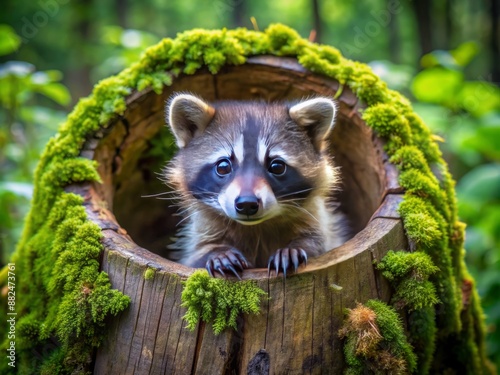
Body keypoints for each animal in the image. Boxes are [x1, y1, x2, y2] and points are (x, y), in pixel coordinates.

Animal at [164, 94, 348, 280]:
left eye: (277, 166)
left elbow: (318, 241)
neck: (256, 227)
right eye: (223, 166)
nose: (247, 203)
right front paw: (217, 253)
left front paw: (295, 247)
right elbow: (196, 255)